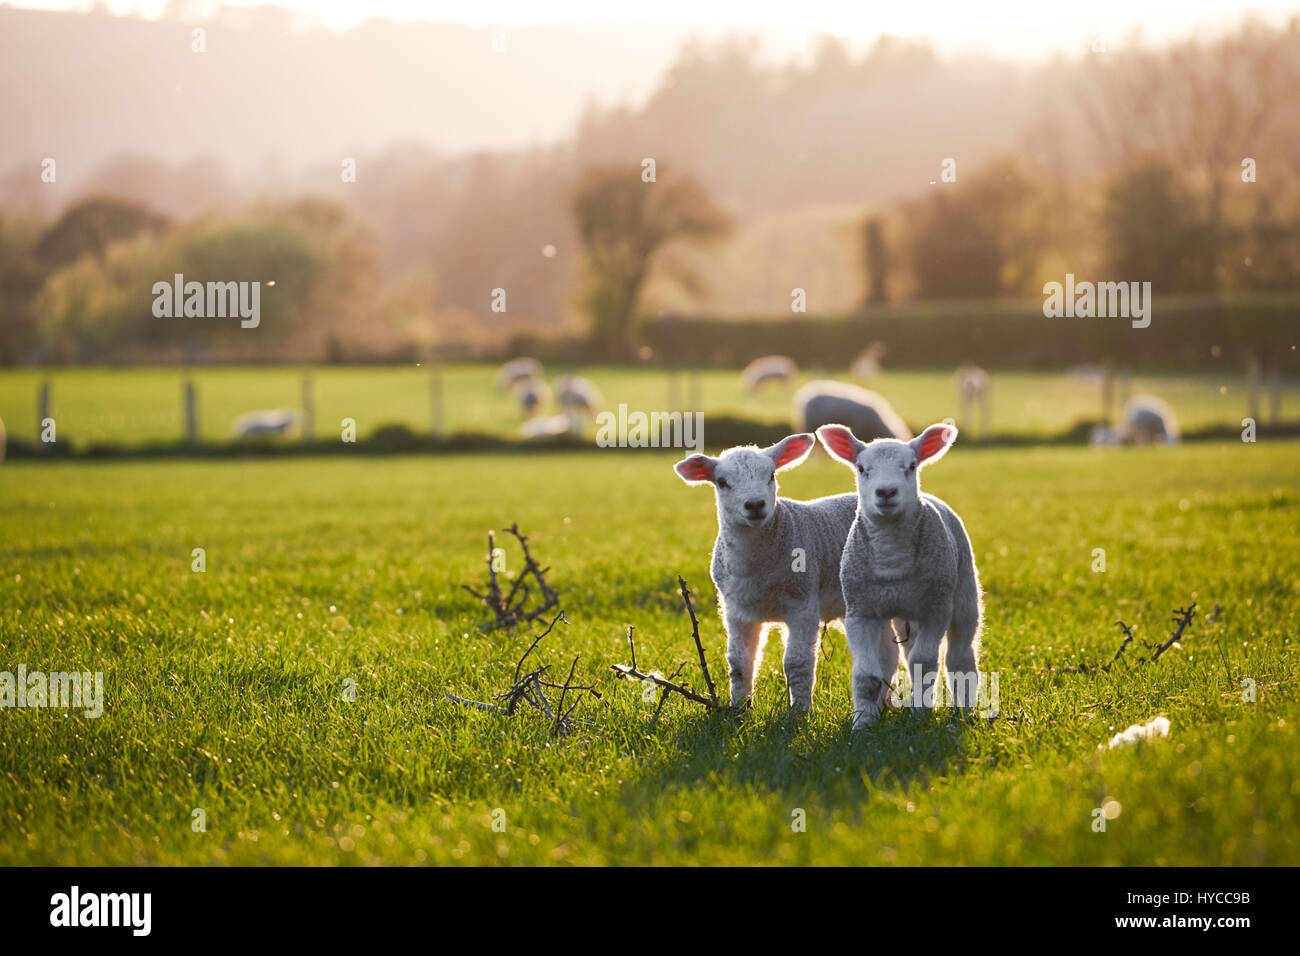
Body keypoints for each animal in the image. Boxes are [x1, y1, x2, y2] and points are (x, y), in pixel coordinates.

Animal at [670, 434, 904, 712]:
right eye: (722, 482)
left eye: (771, 474)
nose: (755, 505)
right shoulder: (736, 611)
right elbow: (738, 663)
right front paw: (739, 708)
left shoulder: (802, 604)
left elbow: (797, 663)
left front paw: (799, 712)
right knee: (888, 653)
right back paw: (882, 703)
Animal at [816, 421, 977, 728]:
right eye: (861, 468)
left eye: (911, 466)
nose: (887, 492)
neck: (892, 561)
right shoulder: (860, 612)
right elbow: (867, 674)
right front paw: (862, 725)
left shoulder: (936, 608)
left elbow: (923, 664)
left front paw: (920, 717)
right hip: (895, 615)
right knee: (891, 657)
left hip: (963, 592)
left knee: (960, 656)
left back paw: (967, 710)